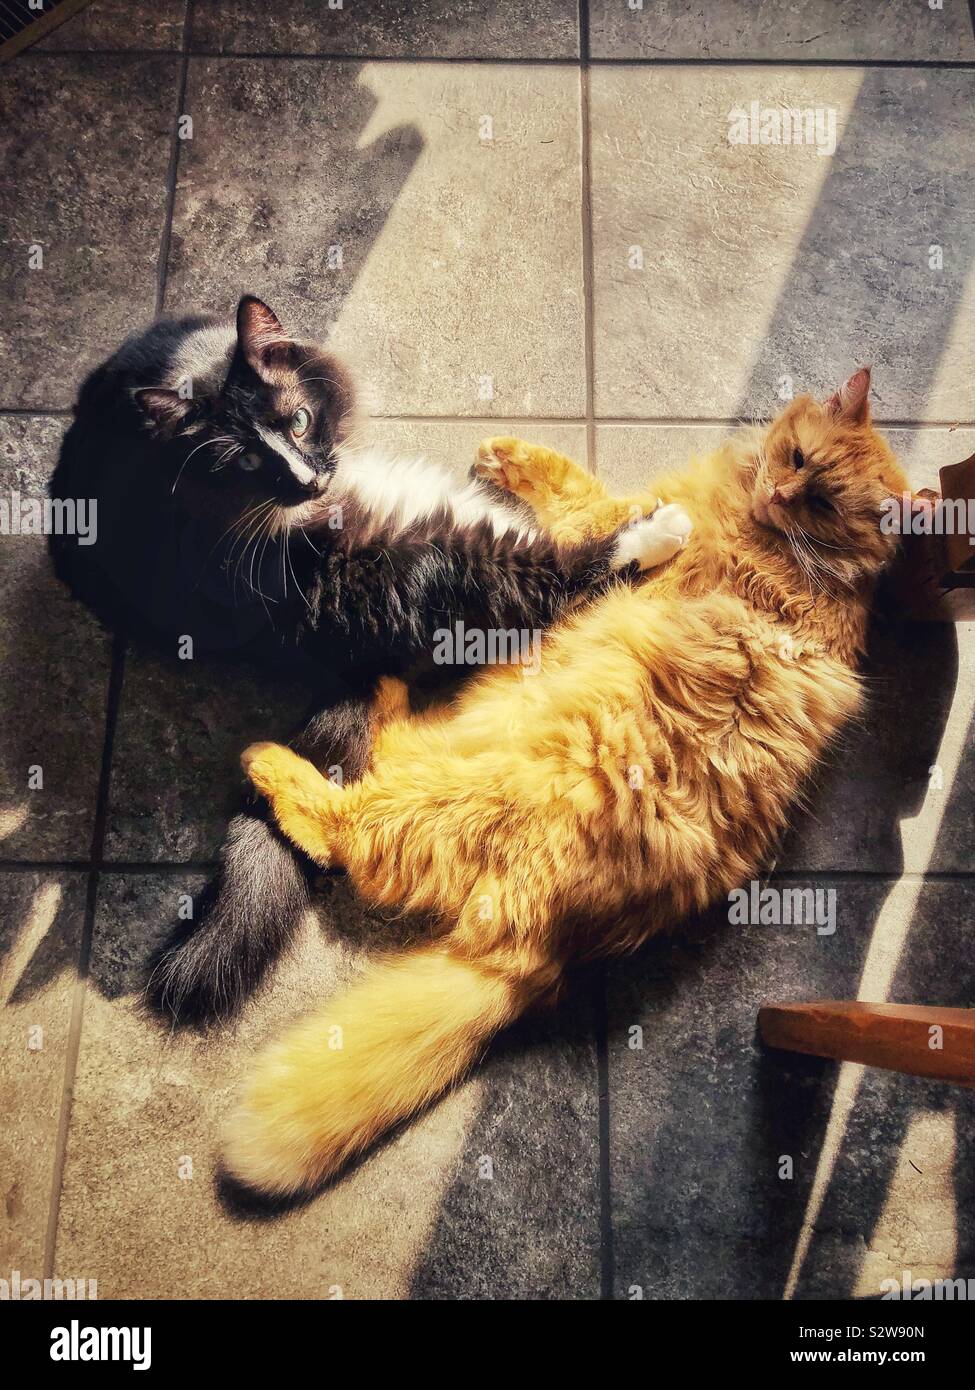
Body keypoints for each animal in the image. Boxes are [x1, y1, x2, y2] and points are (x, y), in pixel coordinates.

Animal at [51, 298, 684, 1028]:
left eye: (299, 420)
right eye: (245, 460)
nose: (308, 479)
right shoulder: (469, 574)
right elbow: (573, 567)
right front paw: (657, 529)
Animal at [223, 372, 906, 1195]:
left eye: (824, 505)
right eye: (799, 459)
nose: (781, 492)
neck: (783, 545)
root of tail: (547, 952)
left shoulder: (612, 519)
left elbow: (581, 500)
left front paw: (516, 463)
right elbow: (572, 491)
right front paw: (505, 455)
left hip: (466, 784)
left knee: (342, 832)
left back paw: (271, 757)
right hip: (464, 733)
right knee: (387, 747)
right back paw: (383, 692)